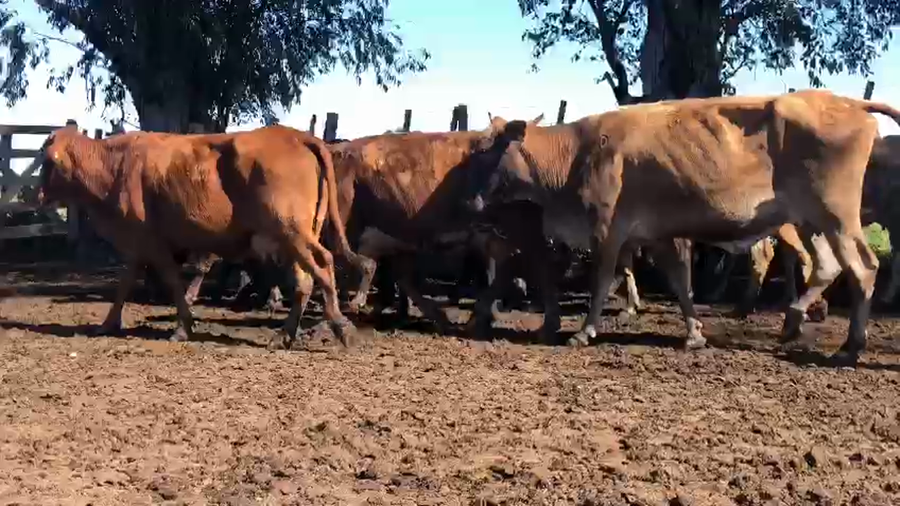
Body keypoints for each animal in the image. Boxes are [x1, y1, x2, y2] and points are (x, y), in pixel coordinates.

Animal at [36, 124, 362, 350]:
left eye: (45, 162)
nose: (37, 195)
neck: (113, 165)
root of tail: (295, 135)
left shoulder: (150, 240)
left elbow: (171, 280)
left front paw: (182, 327)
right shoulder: (140, 243)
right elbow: (126, 282)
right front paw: (108, 323)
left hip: (292, 231)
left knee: (324, 263)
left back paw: (341, 326)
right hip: (293, 237)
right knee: (305, 281)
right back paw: (284, 335)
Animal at [468, 90, 900, 365]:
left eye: (485, 148)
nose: (470, 200)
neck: (578, 152)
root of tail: (848, 101)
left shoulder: (607, 231)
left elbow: (602, 280)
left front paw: (584, 331)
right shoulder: (659, 235)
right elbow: (680, 282)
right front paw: (694, 333)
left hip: (836, 215)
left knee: (863, 268)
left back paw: (850, 346)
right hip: (810, 220)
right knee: (826, 265)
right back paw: (794, 320)